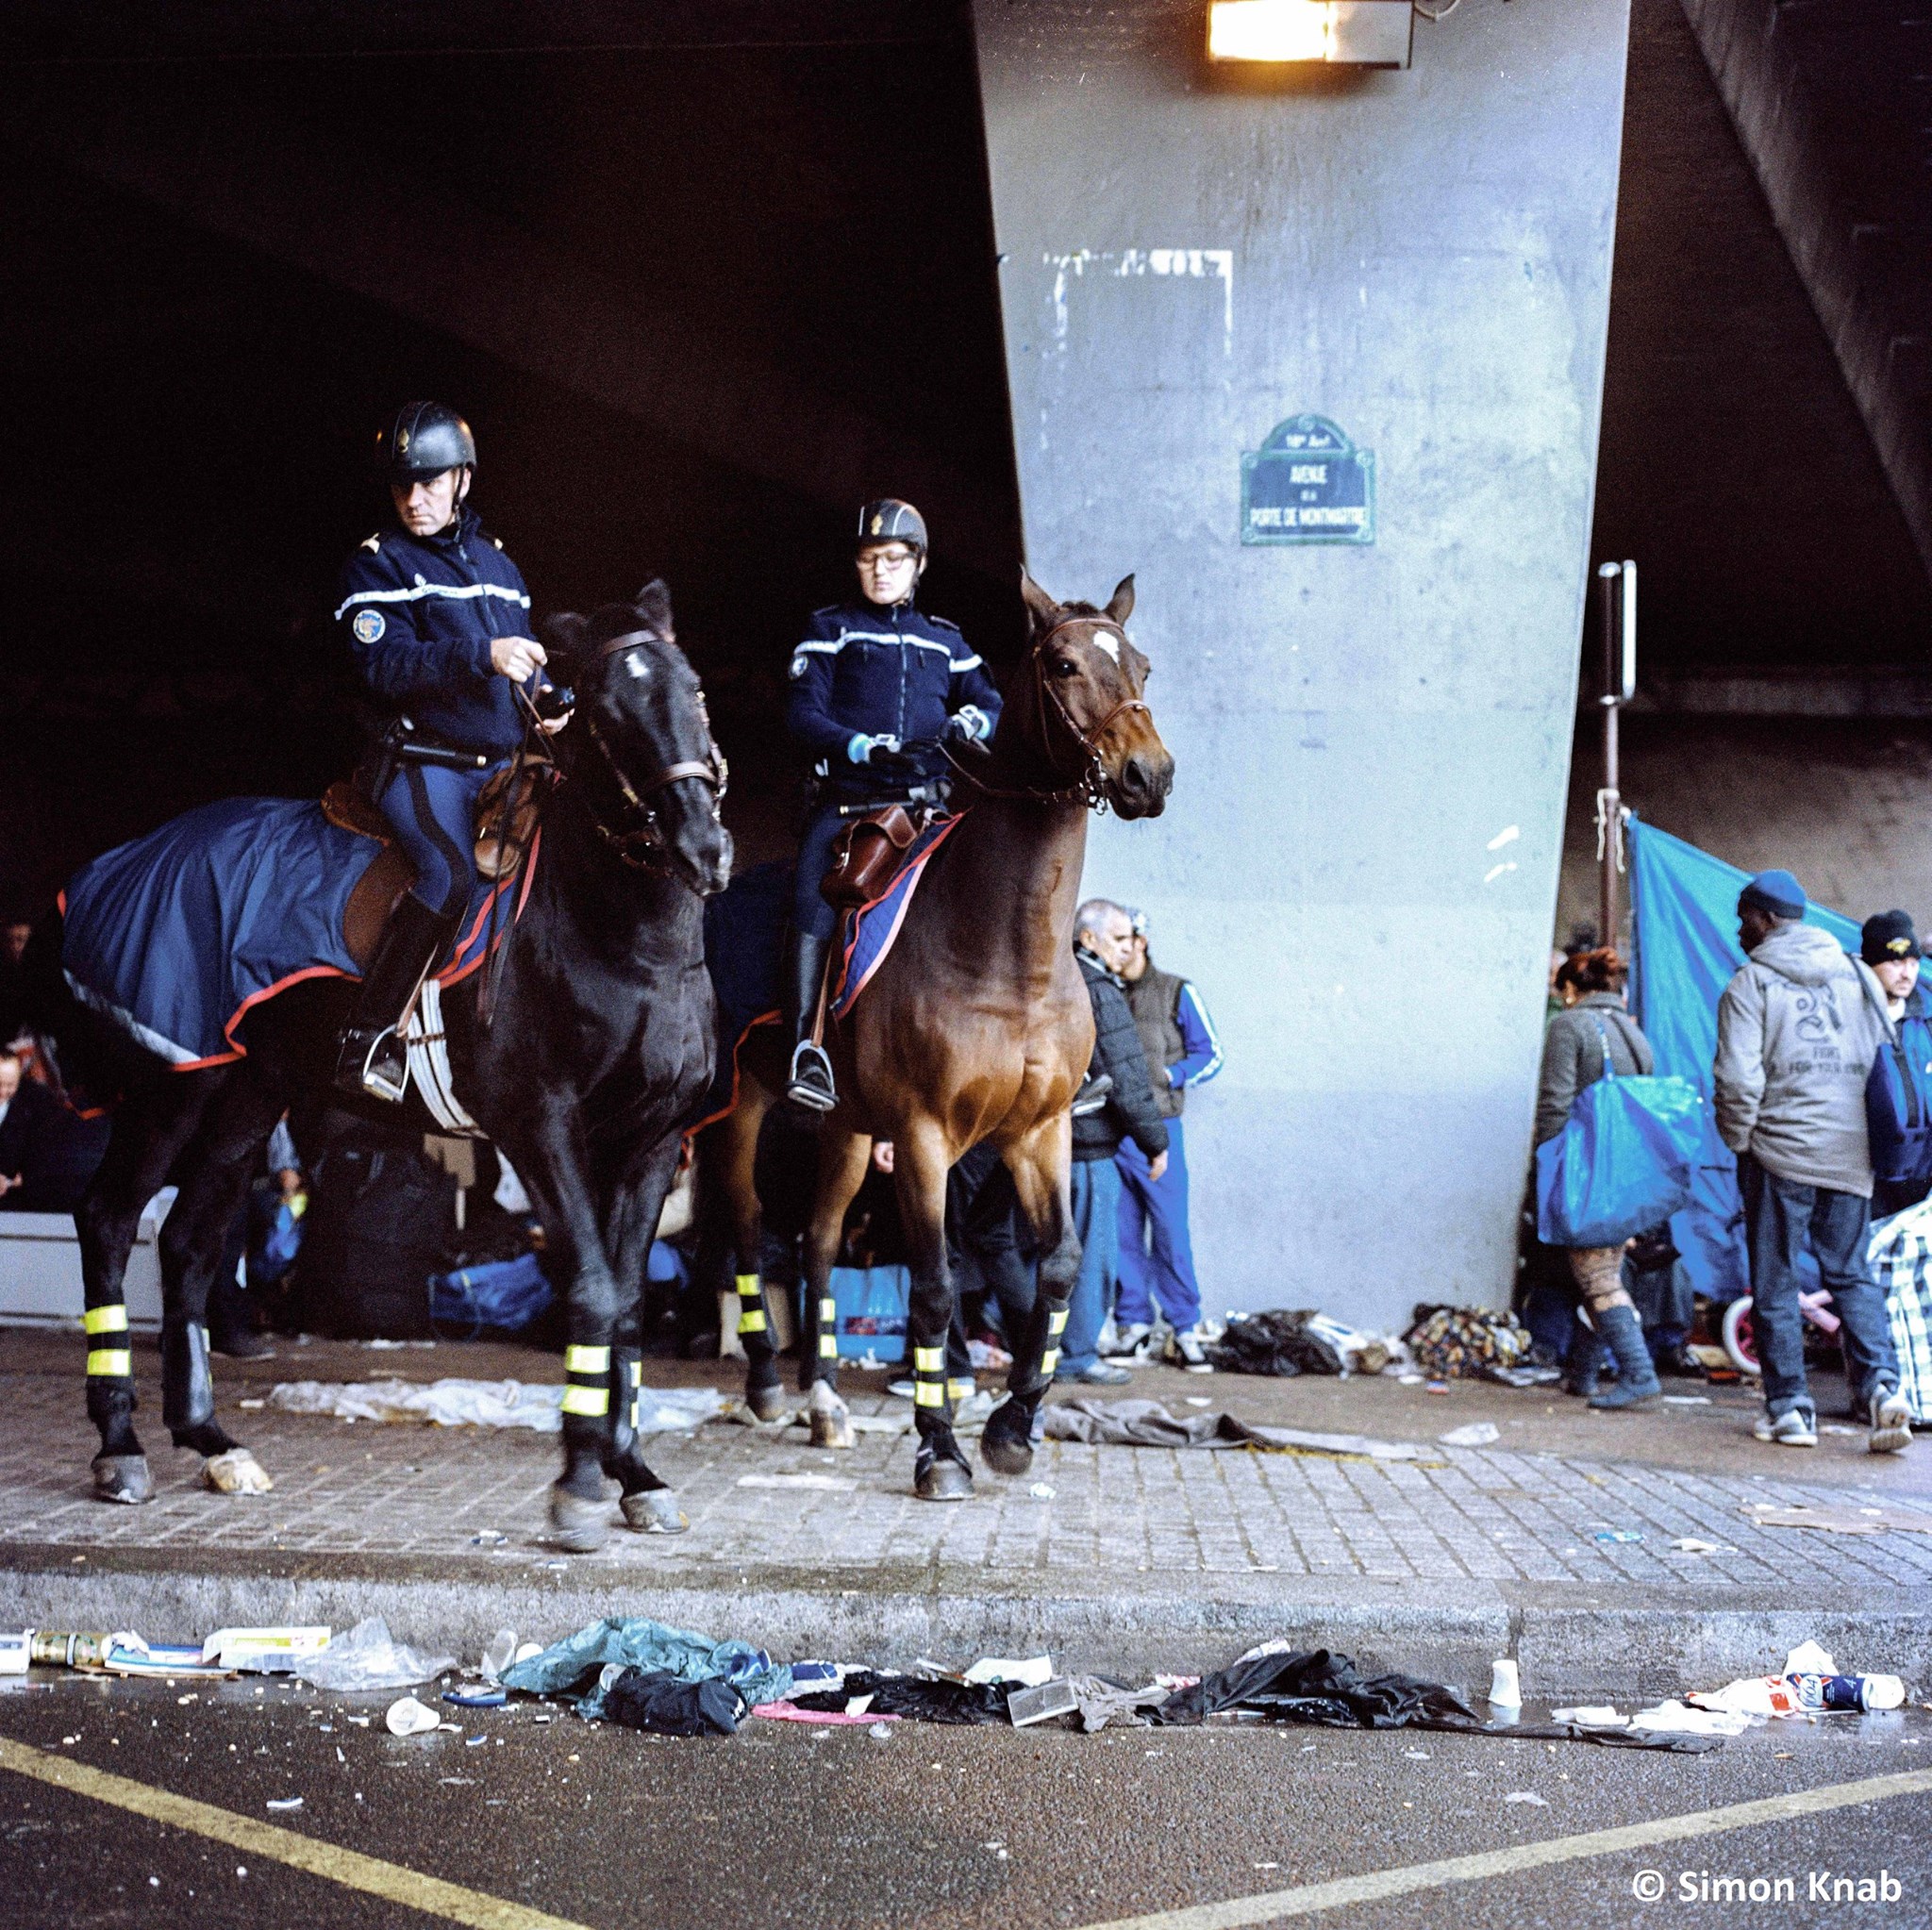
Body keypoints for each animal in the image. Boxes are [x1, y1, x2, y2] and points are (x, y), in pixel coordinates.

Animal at [26, 582, 731, 1551]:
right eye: (603, 714)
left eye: (693, 689)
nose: (705, 848)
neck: (627, 944)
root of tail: (101, 870)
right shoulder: (541, 1124)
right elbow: (590, 1288)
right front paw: (580, 1484)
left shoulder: (653, 1143)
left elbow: (625, 1302)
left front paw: (633, 1471)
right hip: (178, 1086)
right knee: (106, 1220)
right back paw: (121, 1447)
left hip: (250, 1094)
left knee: (188, 1243)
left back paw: (211, 1440)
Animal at [730, 569, 1173, 1498]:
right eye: (1064, 662)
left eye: (1142, 664)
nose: (1149, 775)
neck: (1009, 956)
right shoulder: (925, 1136)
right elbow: (934, 1288)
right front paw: (940, 1447)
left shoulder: (1036, 1133)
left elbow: (1057, 1268)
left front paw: (1012, 1425)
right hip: (737, 1109)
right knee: (749, 1226)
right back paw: (762, 1385)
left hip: (846, 1133)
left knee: (817, 1242)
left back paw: (825, 1401)